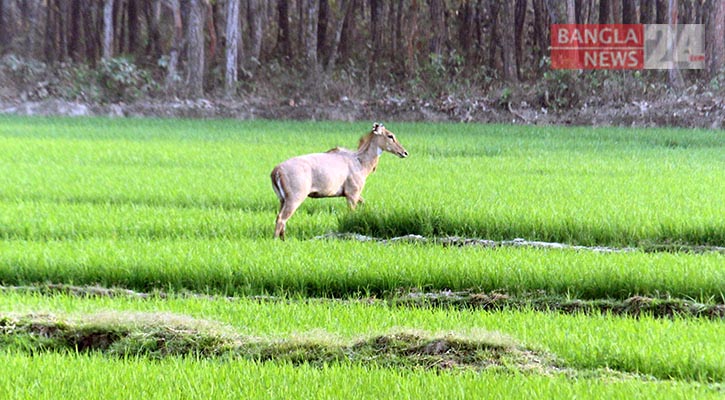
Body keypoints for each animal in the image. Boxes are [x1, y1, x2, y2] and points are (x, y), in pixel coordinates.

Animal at [270, 122, 408, 239]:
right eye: (390, 136)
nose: (405, 152)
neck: (361, 162)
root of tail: (276, 171)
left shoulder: (352, 194)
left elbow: (364, 203)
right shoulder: (352, 193)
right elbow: (351, 213)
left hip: (283, 199)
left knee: (281, 218)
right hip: (295, 197)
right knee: (281, 218)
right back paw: (276, 240)